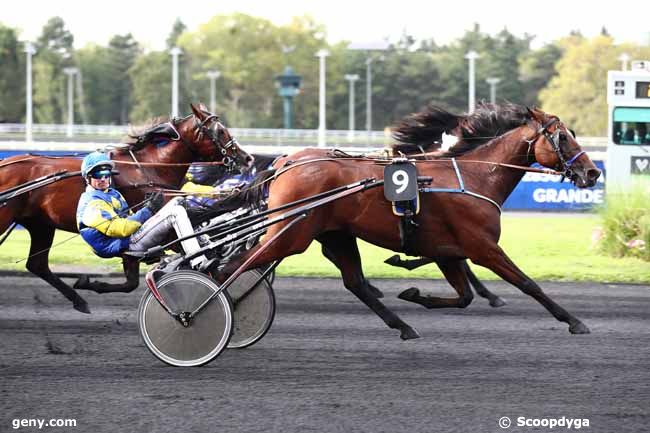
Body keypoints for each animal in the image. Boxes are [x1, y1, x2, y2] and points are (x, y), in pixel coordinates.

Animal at [0, 104, 252, 314]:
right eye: (221, 131)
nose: (247, 158)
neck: (148, 168)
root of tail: (5, 164)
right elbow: (136, 278)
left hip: (41, 224)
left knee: (37, 265)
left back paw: (78, 300)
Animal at [223, 106, 596, 340]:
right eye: (563, 137)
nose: (592, 172)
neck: (474, 177)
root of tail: (286, 161)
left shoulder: (448, 251)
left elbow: (464, 296)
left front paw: (415, 292)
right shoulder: (483, 247)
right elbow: (528, 284)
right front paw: (574, 321)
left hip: (334, 234)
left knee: (355, 283)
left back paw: (403, 326)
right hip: (293, 234)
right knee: (235, 265)